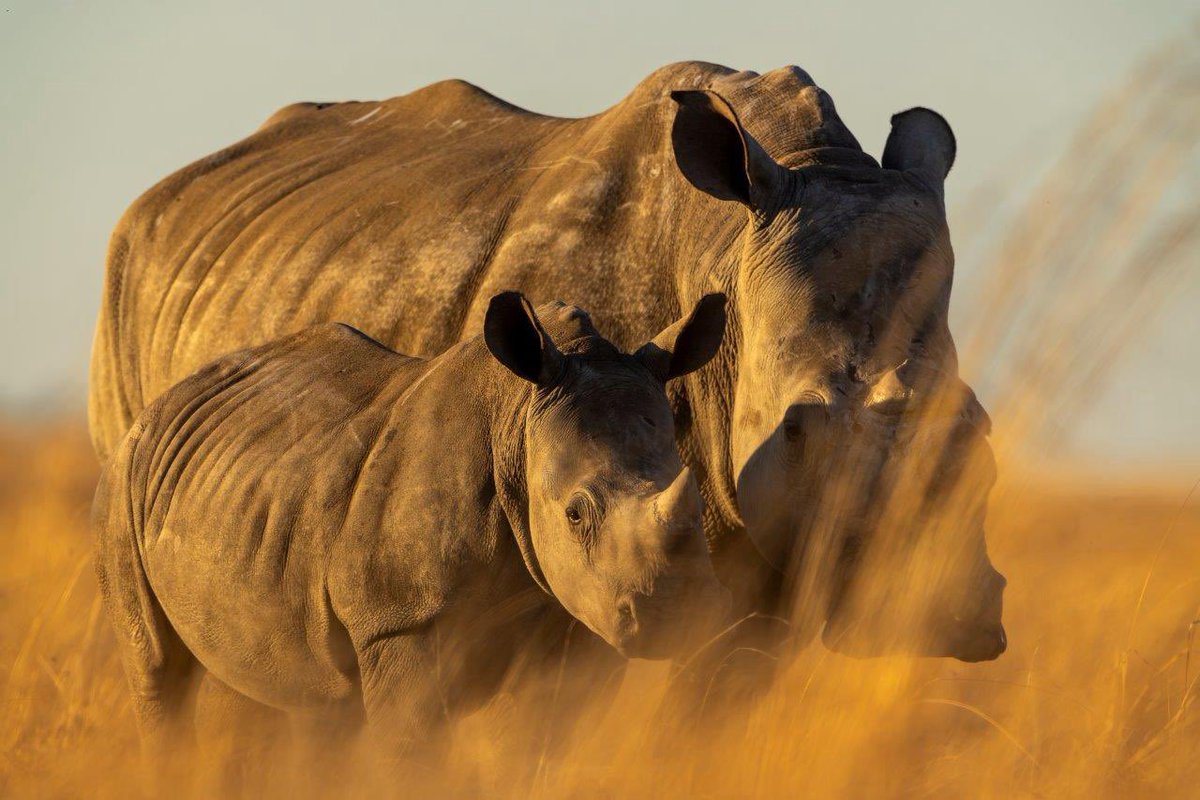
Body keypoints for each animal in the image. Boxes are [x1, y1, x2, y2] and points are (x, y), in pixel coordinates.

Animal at [93, 291, 730, 764]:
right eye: (575, 513)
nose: (677, 613)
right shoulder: (397, 618)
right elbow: (411, 748)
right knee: (158, 675)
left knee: (282, 694)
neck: (514, 417)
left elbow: (539, 751)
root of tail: (158, 406)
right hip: (121, 484)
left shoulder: (567, 621)